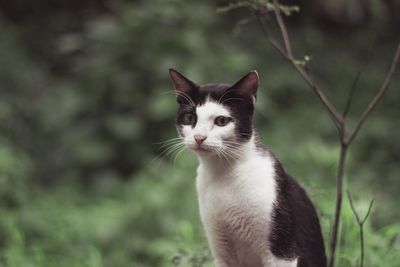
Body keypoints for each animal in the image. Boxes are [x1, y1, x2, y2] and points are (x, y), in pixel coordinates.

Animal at [167, 69, 326, 267]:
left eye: (221, 121)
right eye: (189, 118)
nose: (199, 137)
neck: (223, 173)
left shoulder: (282, 254)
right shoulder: (221, 252)